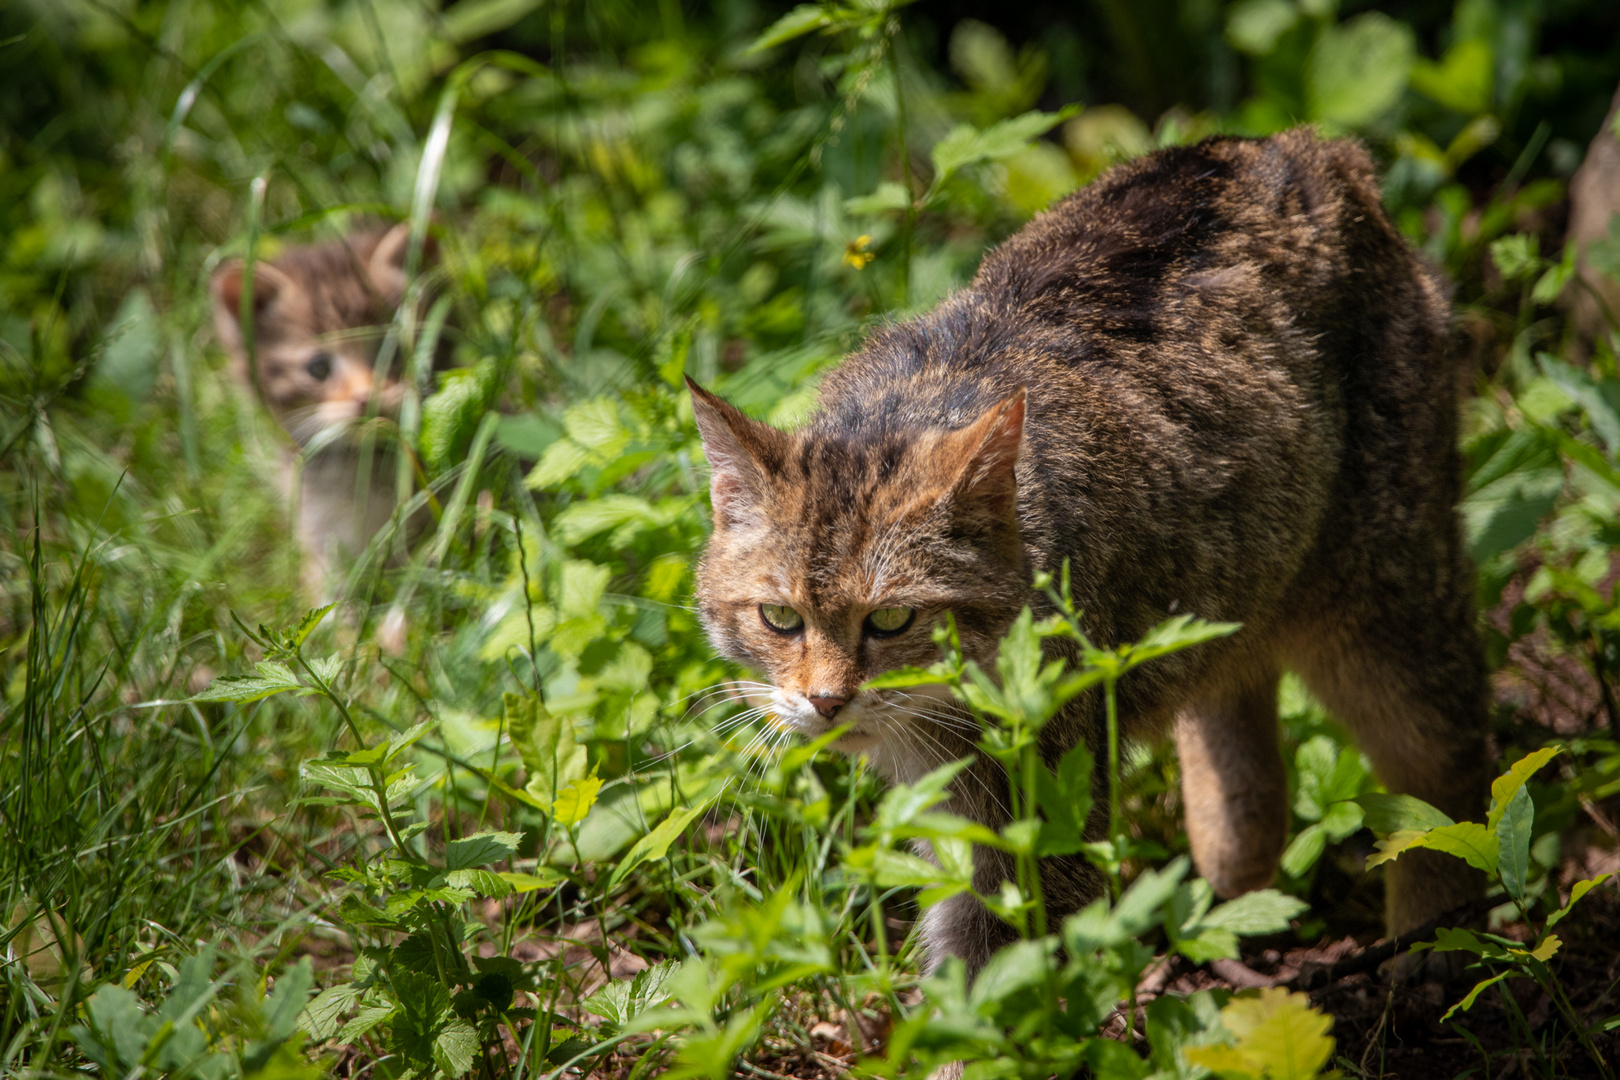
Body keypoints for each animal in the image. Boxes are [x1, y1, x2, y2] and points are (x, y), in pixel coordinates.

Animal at [212, 221, 434, 615]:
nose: (366, 397)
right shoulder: (320, 538)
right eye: (318, 368)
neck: (363, 466)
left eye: (391, 350)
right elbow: (330, 605)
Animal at [690, 131, 1483, 977]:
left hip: (1388, 598)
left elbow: (999, 983)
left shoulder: (1036, 813)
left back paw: (1437, 940)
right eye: (778, 618)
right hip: (1234, 583)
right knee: (1241, 745)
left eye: (893, 620)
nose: (826, 702)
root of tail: (1309, 145)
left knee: (1447, 763)